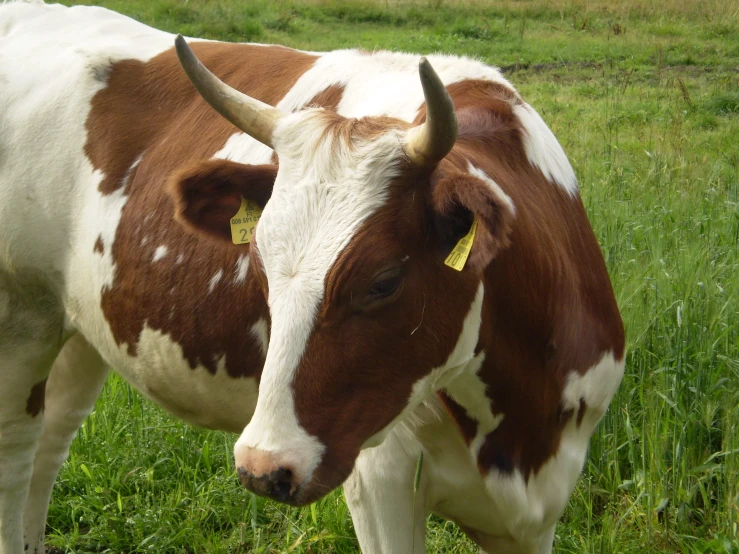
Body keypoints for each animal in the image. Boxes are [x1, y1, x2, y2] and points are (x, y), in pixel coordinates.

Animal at [0, 2, 624, 548]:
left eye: (384, 280)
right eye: (261, 266)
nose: (262, 468)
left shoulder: (543, 502)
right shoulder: (380, 477)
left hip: (80, 330)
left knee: (52, 440)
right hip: (20, 321)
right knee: (17, 453)